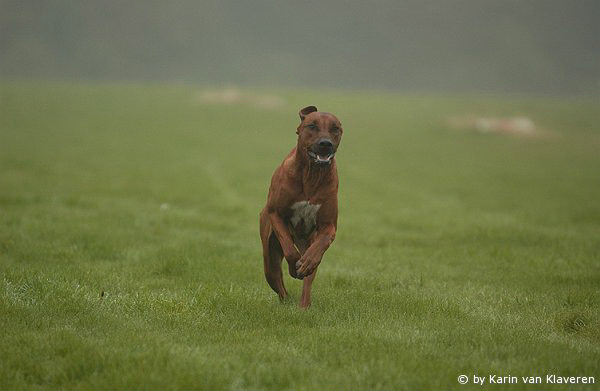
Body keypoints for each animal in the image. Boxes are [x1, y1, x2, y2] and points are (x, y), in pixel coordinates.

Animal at [258, 106, 342, 310]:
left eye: (335, 128)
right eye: (312, 126)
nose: (325, 143)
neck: (312, 175)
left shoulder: (329, 225)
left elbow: (322, 243)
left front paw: (305, 264)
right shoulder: (275, 213)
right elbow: (288, 248)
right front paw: (294, 266)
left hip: (308, 242)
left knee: (309, 278)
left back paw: (304, 305)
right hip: (268, 256)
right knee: (276, 280)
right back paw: (287, 299)